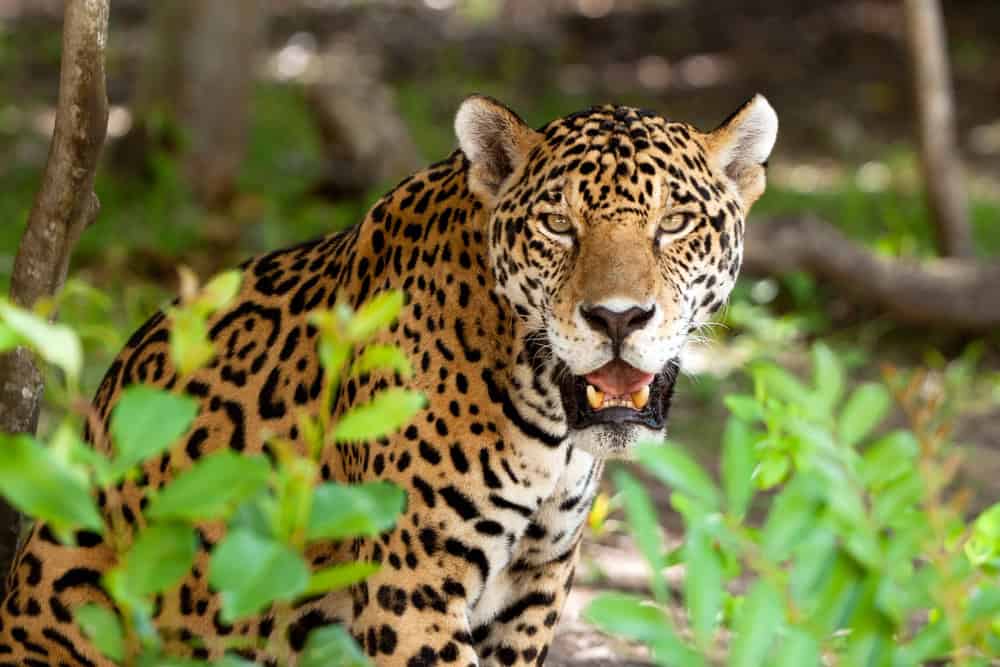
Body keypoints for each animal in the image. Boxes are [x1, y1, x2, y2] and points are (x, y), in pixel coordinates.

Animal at [0, 94, 777, 666]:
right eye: (558, 226)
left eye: (674, 224)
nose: (618, 317)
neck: (547, 423)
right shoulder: (414, 587)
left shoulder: (535, 588)